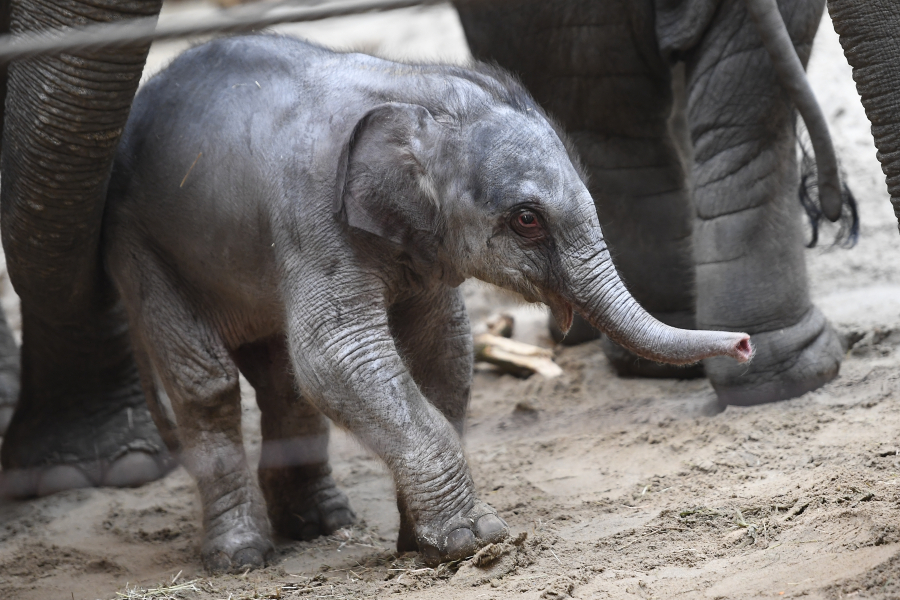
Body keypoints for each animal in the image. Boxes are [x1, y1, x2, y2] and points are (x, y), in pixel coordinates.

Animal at [103, 36, 752, 572]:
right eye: (527, 219)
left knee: (282, 379)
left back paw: (320, 525)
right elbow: (339, 356)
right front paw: (475, 540)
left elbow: (445, 350)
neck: (410, 87)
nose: (745, 343)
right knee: (207, 382)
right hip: (140, 243)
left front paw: (421, 546)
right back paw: (241, 557)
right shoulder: (310, 215)